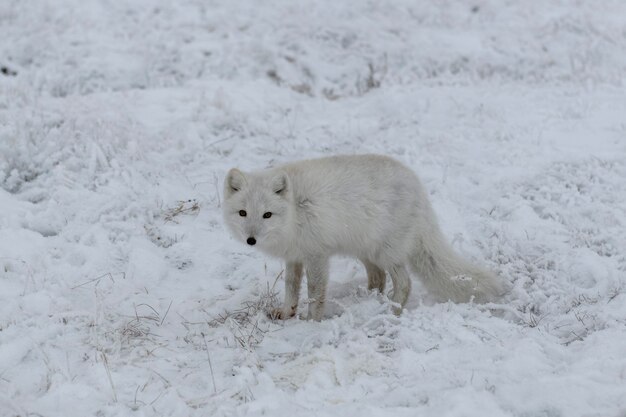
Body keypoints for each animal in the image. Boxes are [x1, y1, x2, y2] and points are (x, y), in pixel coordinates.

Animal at [222, 154, 500, 320]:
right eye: (243, 213)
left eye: (267, 214)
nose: (250, 240)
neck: (294, 214)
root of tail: (419, 188)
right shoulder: (294, 256)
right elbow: (291, 286)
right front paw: (287, 311)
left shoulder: (316, 255)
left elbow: (315, 292)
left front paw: (311, 320)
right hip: (365, 250)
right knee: (378, 277)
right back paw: (367, 300)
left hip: (385, 251)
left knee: (404, 282)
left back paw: (392, 310)